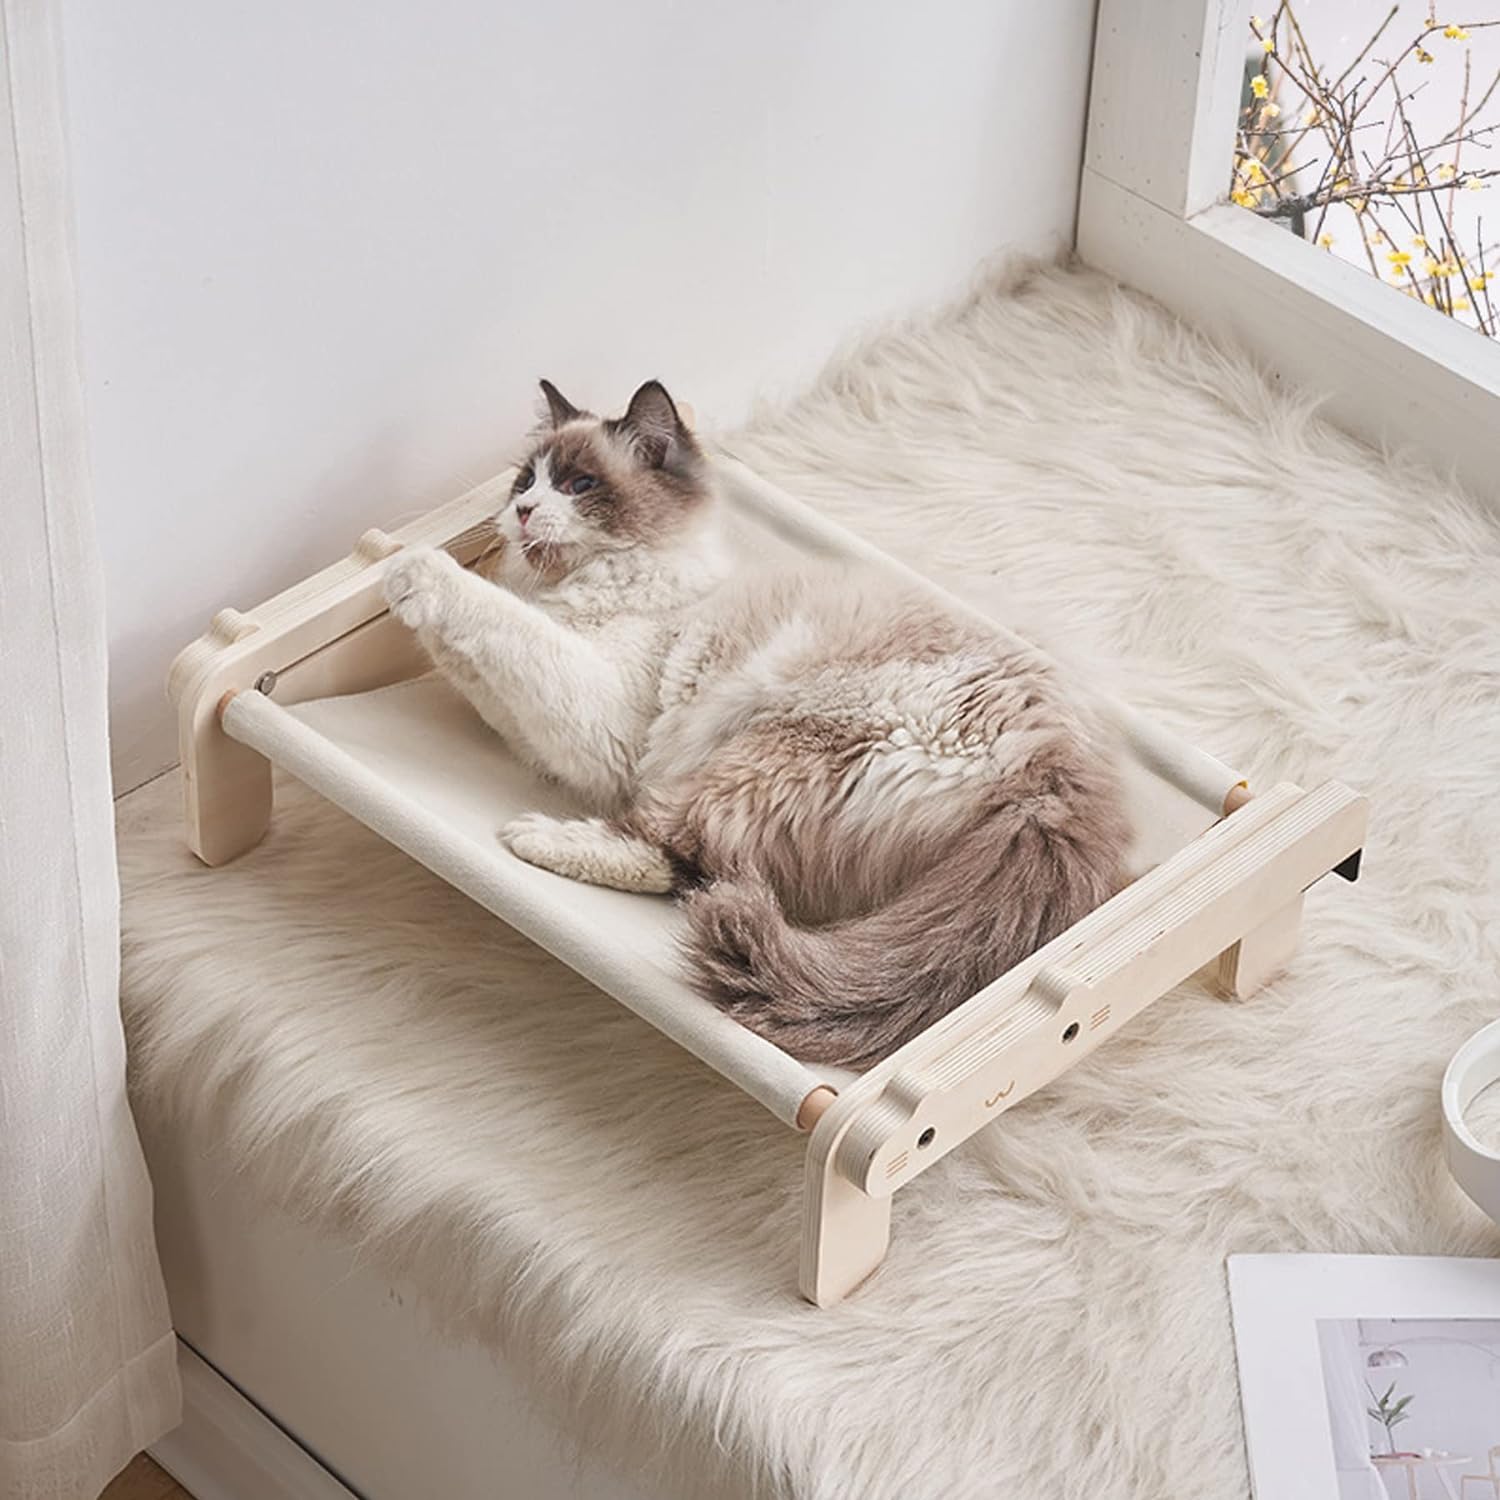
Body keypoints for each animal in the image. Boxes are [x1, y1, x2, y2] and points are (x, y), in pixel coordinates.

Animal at [381, 381, 1128, 1074]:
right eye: (524, 482)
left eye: (579, 485)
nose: (521, 512)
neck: (602, 581)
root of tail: (1057, 778)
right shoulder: (544, 724)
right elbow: (476, 658)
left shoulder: (603, 722)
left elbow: (497, 620)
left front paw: (409, 568)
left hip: (758, 755)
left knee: (678, 862)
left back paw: (535, 836)